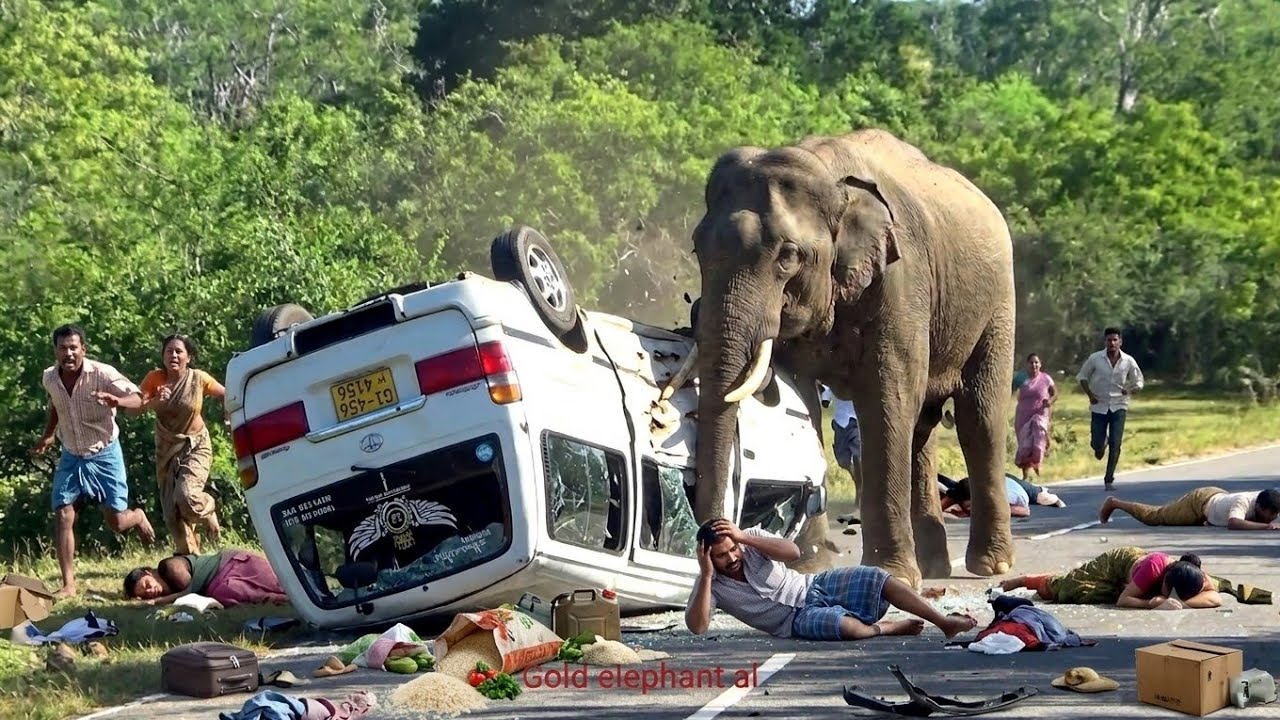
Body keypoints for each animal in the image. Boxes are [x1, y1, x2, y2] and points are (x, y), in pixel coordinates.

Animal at [668, 128, 1017, 587]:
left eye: (788, 255)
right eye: (697, 249)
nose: (714, 542)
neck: (829, 174)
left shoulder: (901, 281)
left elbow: (888, 400)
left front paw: (892, 576)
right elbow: (803, 402)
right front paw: (809, 566)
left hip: (997, 303)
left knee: (978, 417)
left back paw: (991, 566)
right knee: (923, 429)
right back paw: (934, 568)